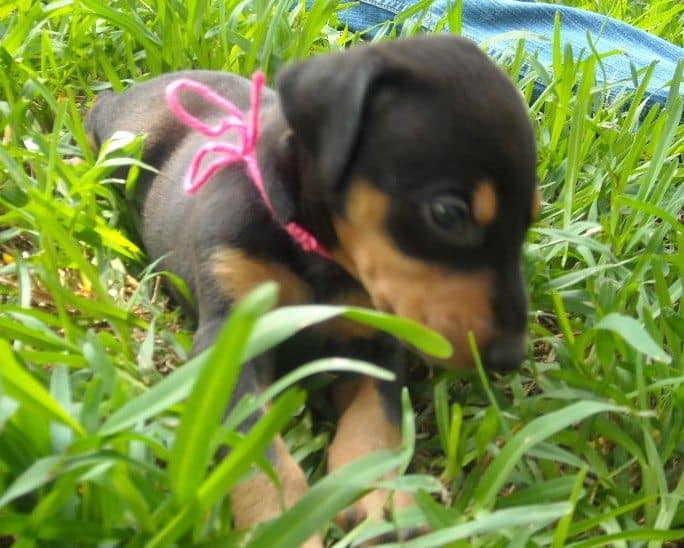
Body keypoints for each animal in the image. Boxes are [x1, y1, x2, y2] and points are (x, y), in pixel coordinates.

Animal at [85, 35, 536, 544]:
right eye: (448, 213)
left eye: (531, 219)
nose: (507, 358)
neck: (318, 253)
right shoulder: (230, 339)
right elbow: (255, 452)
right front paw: (280, 526)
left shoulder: (373, 347)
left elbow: (375, 427)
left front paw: (383, 504)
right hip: (126, 144)